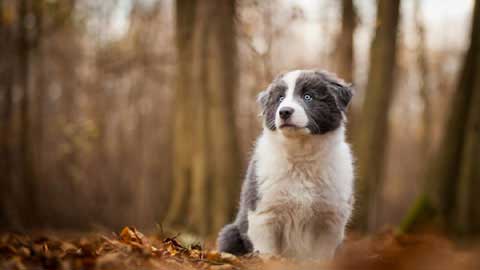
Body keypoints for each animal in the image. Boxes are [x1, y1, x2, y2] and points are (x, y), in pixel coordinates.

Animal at [217, 69, 352, 260]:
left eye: (308, 96)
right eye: (280, 98)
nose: (285, 112)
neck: (301, 156)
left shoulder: (330, 217)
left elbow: (321, 255)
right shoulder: (264, 213)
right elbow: (267, 251)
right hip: (230, 233)